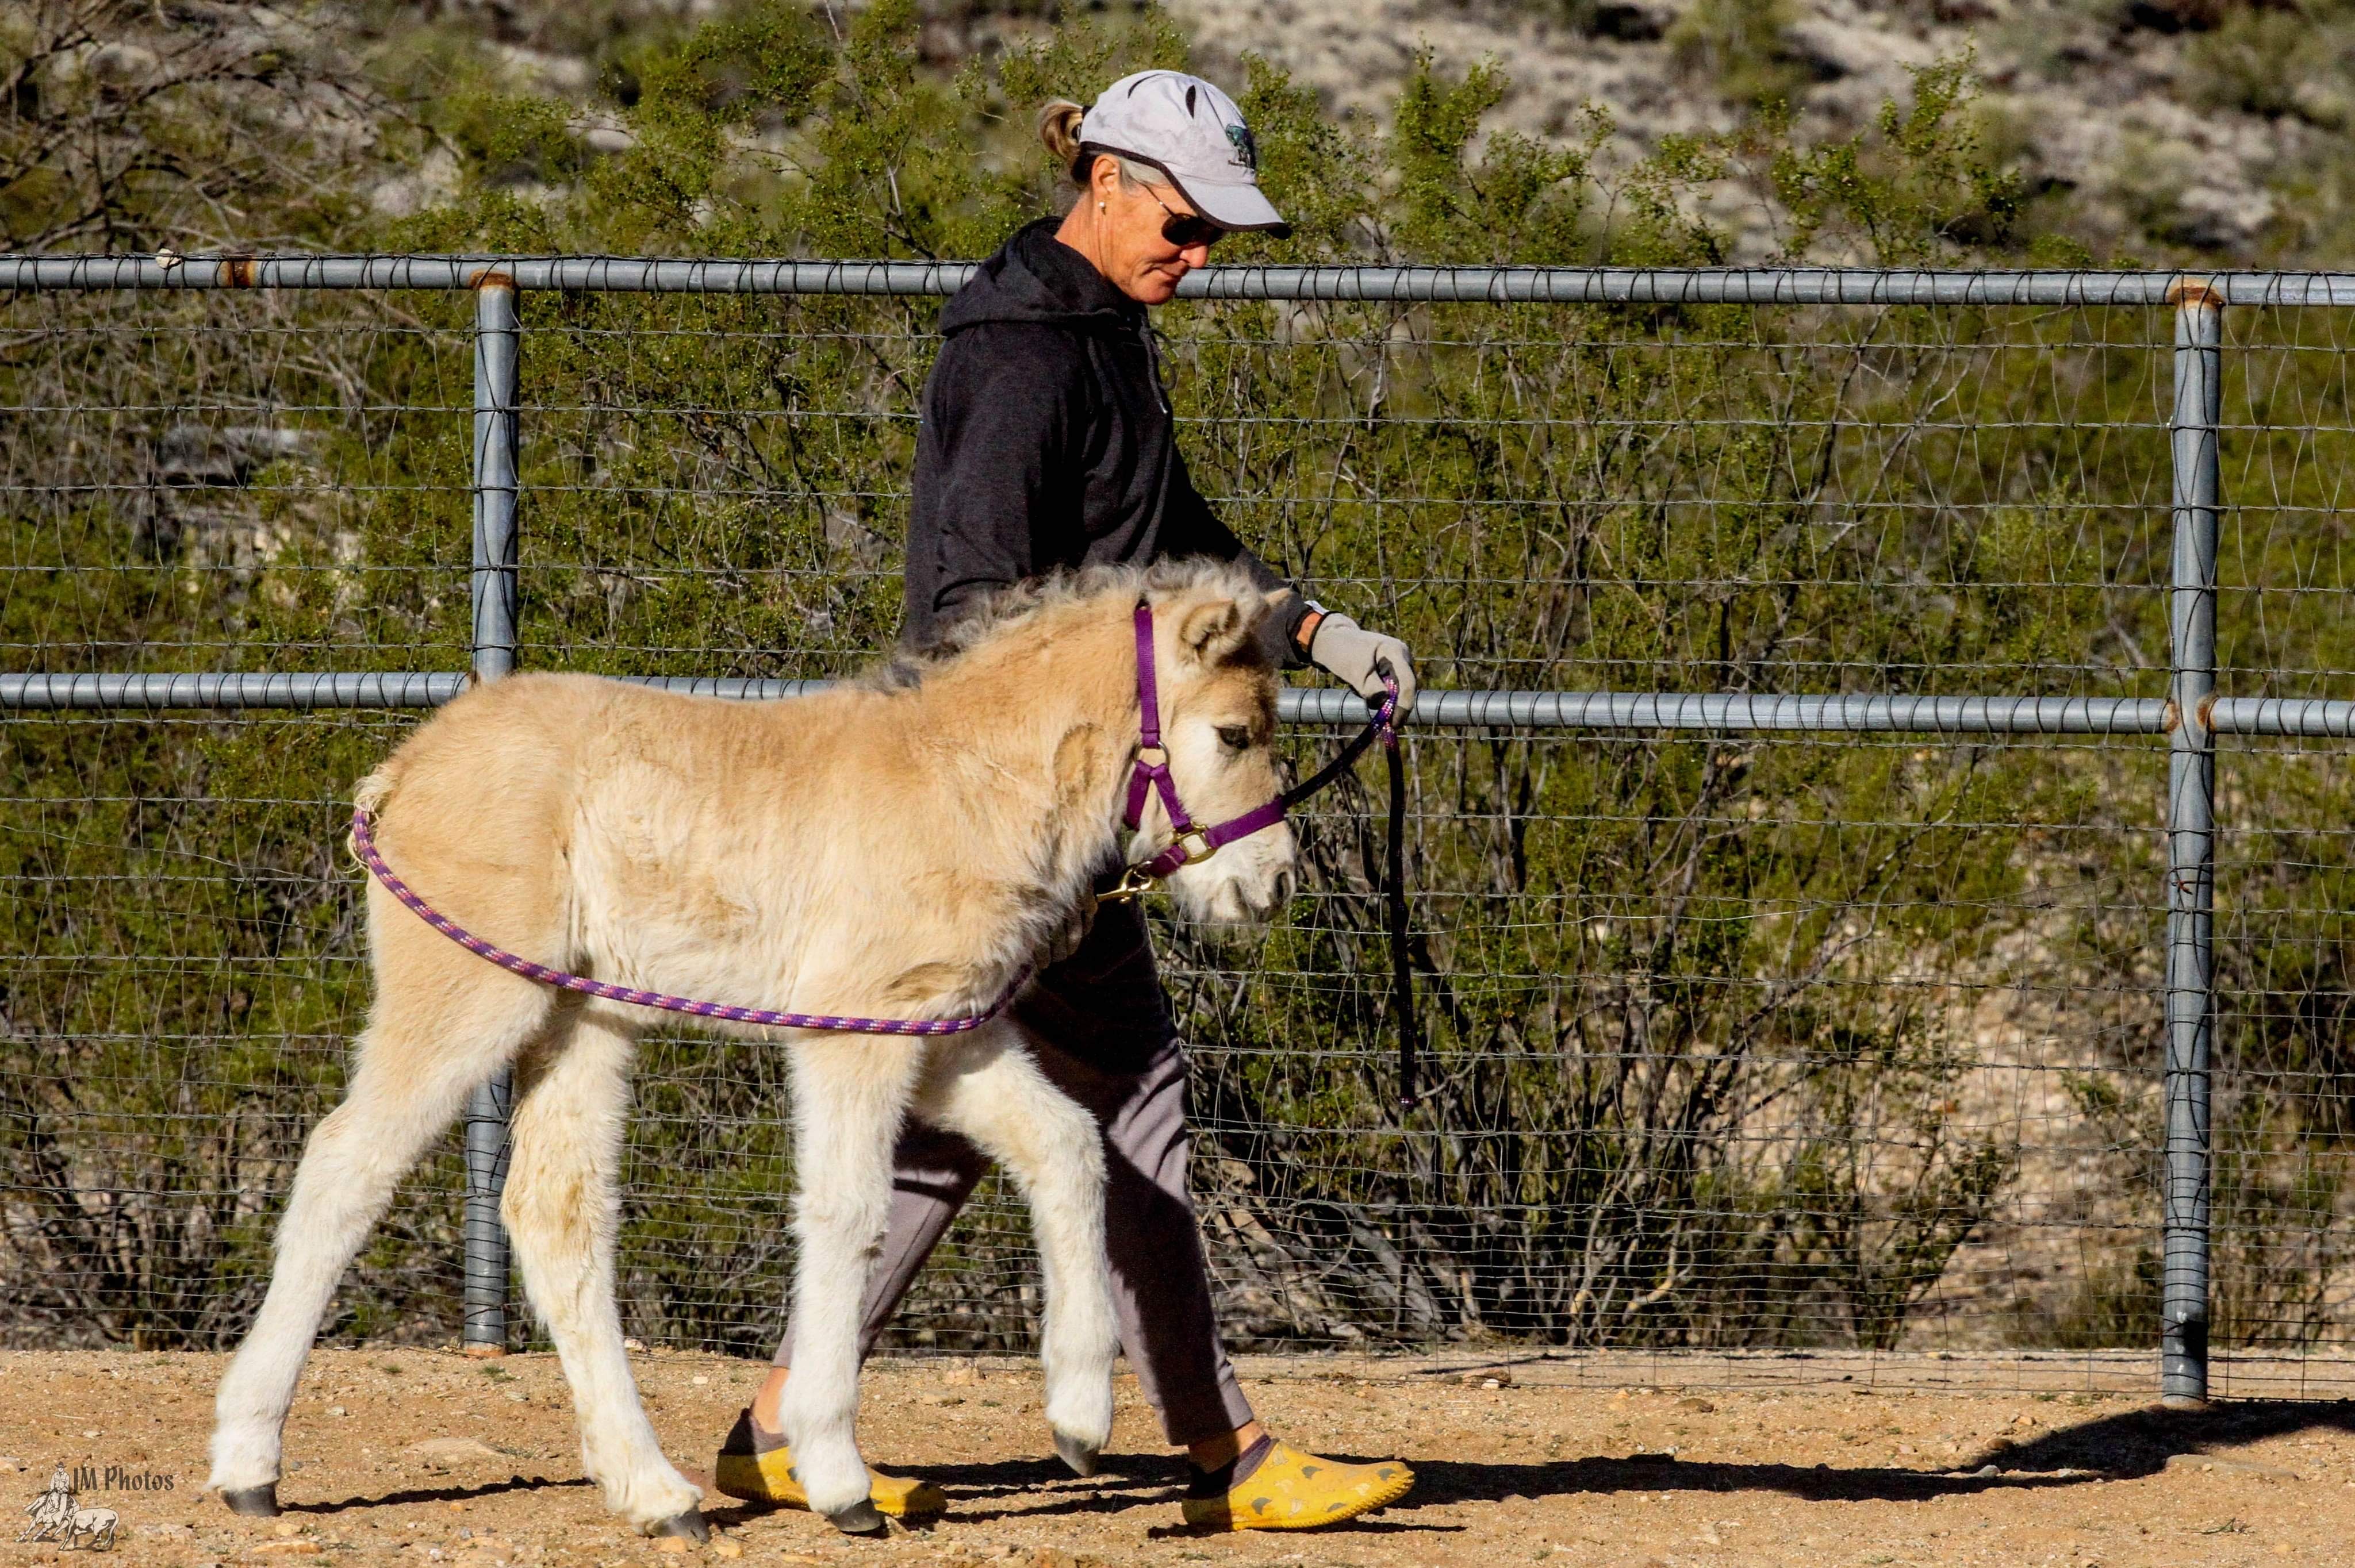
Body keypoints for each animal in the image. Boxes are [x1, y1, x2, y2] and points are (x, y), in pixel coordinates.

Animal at [207, 561, 1299, 1539]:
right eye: (1234, 733)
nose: (1273, 884)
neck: (962, 780)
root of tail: (400, 774)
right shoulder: (849, 1035)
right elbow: (848, 1213)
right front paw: (836, 1475)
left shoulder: (943, 1037)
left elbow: (1068, 1144)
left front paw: (1077, 1417)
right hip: (468, 999)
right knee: (345, 1167)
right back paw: (249, 1465)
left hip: (582, 1022)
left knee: (556, 1214)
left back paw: (656, 1495)